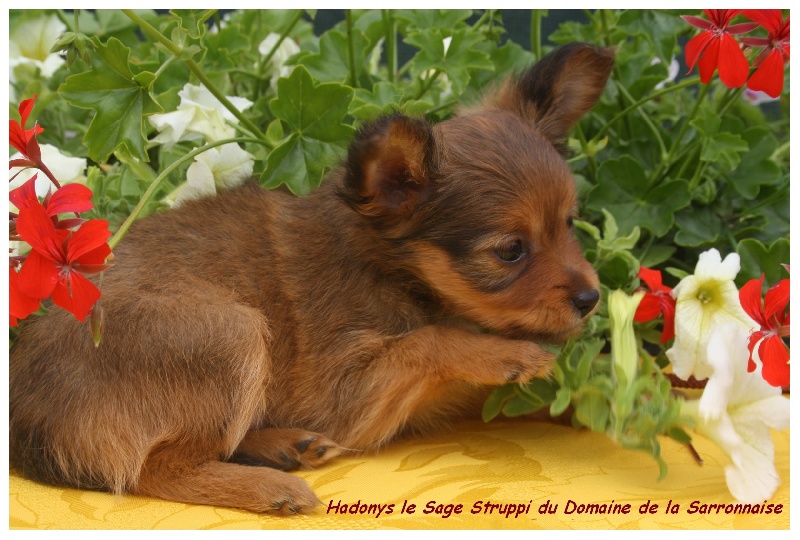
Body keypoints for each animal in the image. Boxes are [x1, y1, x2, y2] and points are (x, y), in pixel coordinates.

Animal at [9, 43, 613, 514]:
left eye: (571, 222)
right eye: (511, 251)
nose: (591, 298)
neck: (392, 268)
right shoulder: (353, 398)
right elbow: (429, 339)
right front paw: (506, 354)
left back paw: (281, 446)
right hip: (231, 330)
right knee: (153, 468)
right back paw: (267, 485)